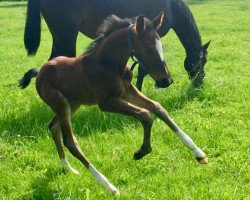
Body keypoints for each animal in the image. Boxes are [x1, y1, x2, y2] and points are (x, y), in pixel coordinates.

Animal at [19, 13, 207, 196]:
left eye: (161, 46)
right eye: (147, 49)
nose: (166, 80)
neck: (109, 63)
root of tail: (39, 72)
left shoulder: (127, 91)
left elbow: (157, 108)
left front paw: (199, 153)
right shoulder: (106, 102)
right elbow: (145, 114)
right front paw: (141, 152)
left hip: (73, 104)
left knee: (53, 127)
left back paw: (67, 168)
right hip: (61, 104)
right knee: (70, 141)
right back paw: (109, 186)